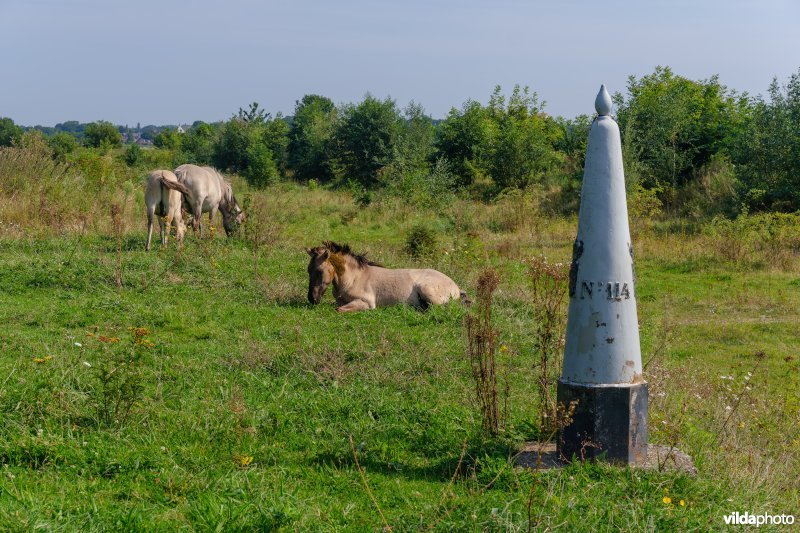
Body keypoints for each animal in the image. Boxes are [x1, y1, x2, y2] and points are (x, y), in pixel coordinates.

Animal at [306, 241, 468, 312]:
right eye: (308, 271)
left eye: (319, 271)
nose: (312, 299)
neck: (353, 278)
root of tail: (455, 287)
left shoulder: (367, 303)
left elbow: (338, 310)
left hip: (427, 289)